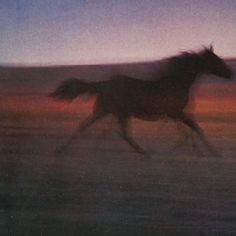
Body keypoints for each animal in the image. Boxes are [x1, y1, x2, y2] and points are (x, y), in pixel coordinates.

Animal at [49, 46, 232, 157]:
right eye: (216, 60)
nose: (231, 73)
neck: (176, 82)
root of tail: (104, 84)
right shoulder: (175, 112)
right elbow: (195, 127)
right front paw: (213, 152)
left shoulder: (174, 114)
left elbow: (186, 130)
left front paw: (191, 150)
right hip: (117, 112)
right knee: (119, 133)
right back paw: (143, 152)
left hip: (109, 111)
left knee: (90, 127)